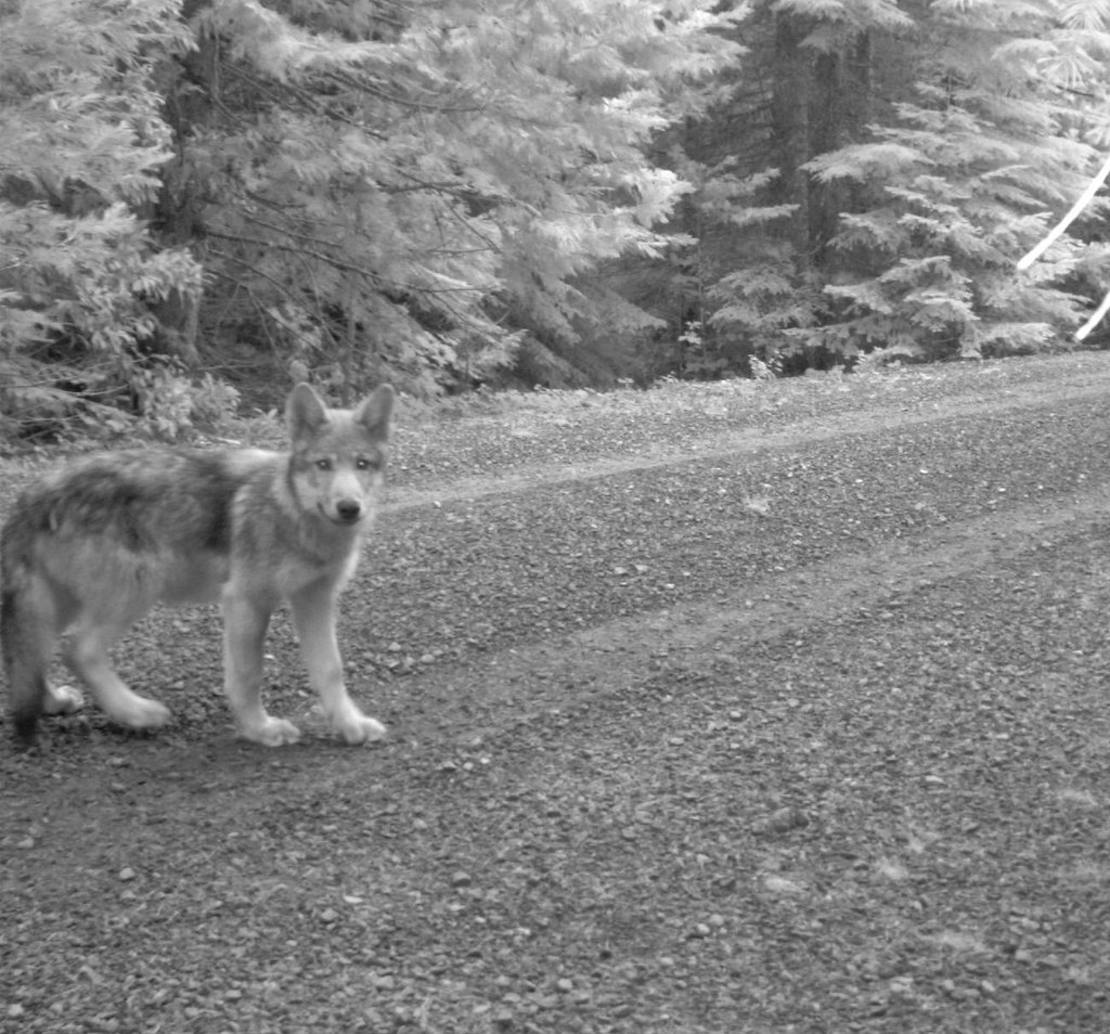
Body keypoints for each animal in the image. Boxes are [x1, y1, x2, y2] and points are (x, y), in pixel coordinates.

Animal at [1, 383, 395, 745]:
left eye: (362, 464)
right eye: (323, 465)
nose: (349, 507)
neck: (293, 513)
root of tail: (35, 494)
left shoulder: (315, 600)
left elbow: (331, 670)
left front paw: (351, 726)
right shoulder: (245, 601)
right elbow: (248, 676)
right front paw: (260, 729)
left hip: (62, 605)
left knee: (29, 651)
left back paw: (54, 701)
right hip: (134, 593)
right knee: (77, 651)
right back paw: (137, 713)